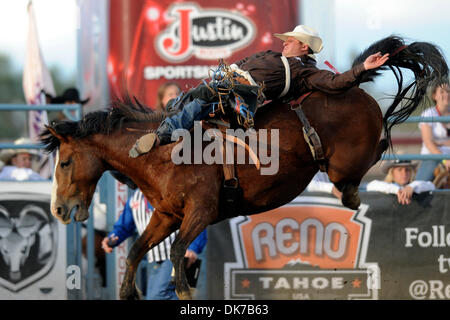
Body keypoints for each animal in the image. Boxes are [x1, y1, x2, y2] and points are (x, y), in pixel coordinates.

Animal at [41, 36, 446, 298]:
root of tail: (356, 91)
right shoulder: (167, 215)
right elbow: (138, 250)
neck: (166, 153)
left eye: (65, 161)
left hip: (345, 161)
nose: (59, 209)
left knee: (367, 158)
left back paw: (351, 193)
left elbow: (177, 257)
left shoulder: (201, 213)